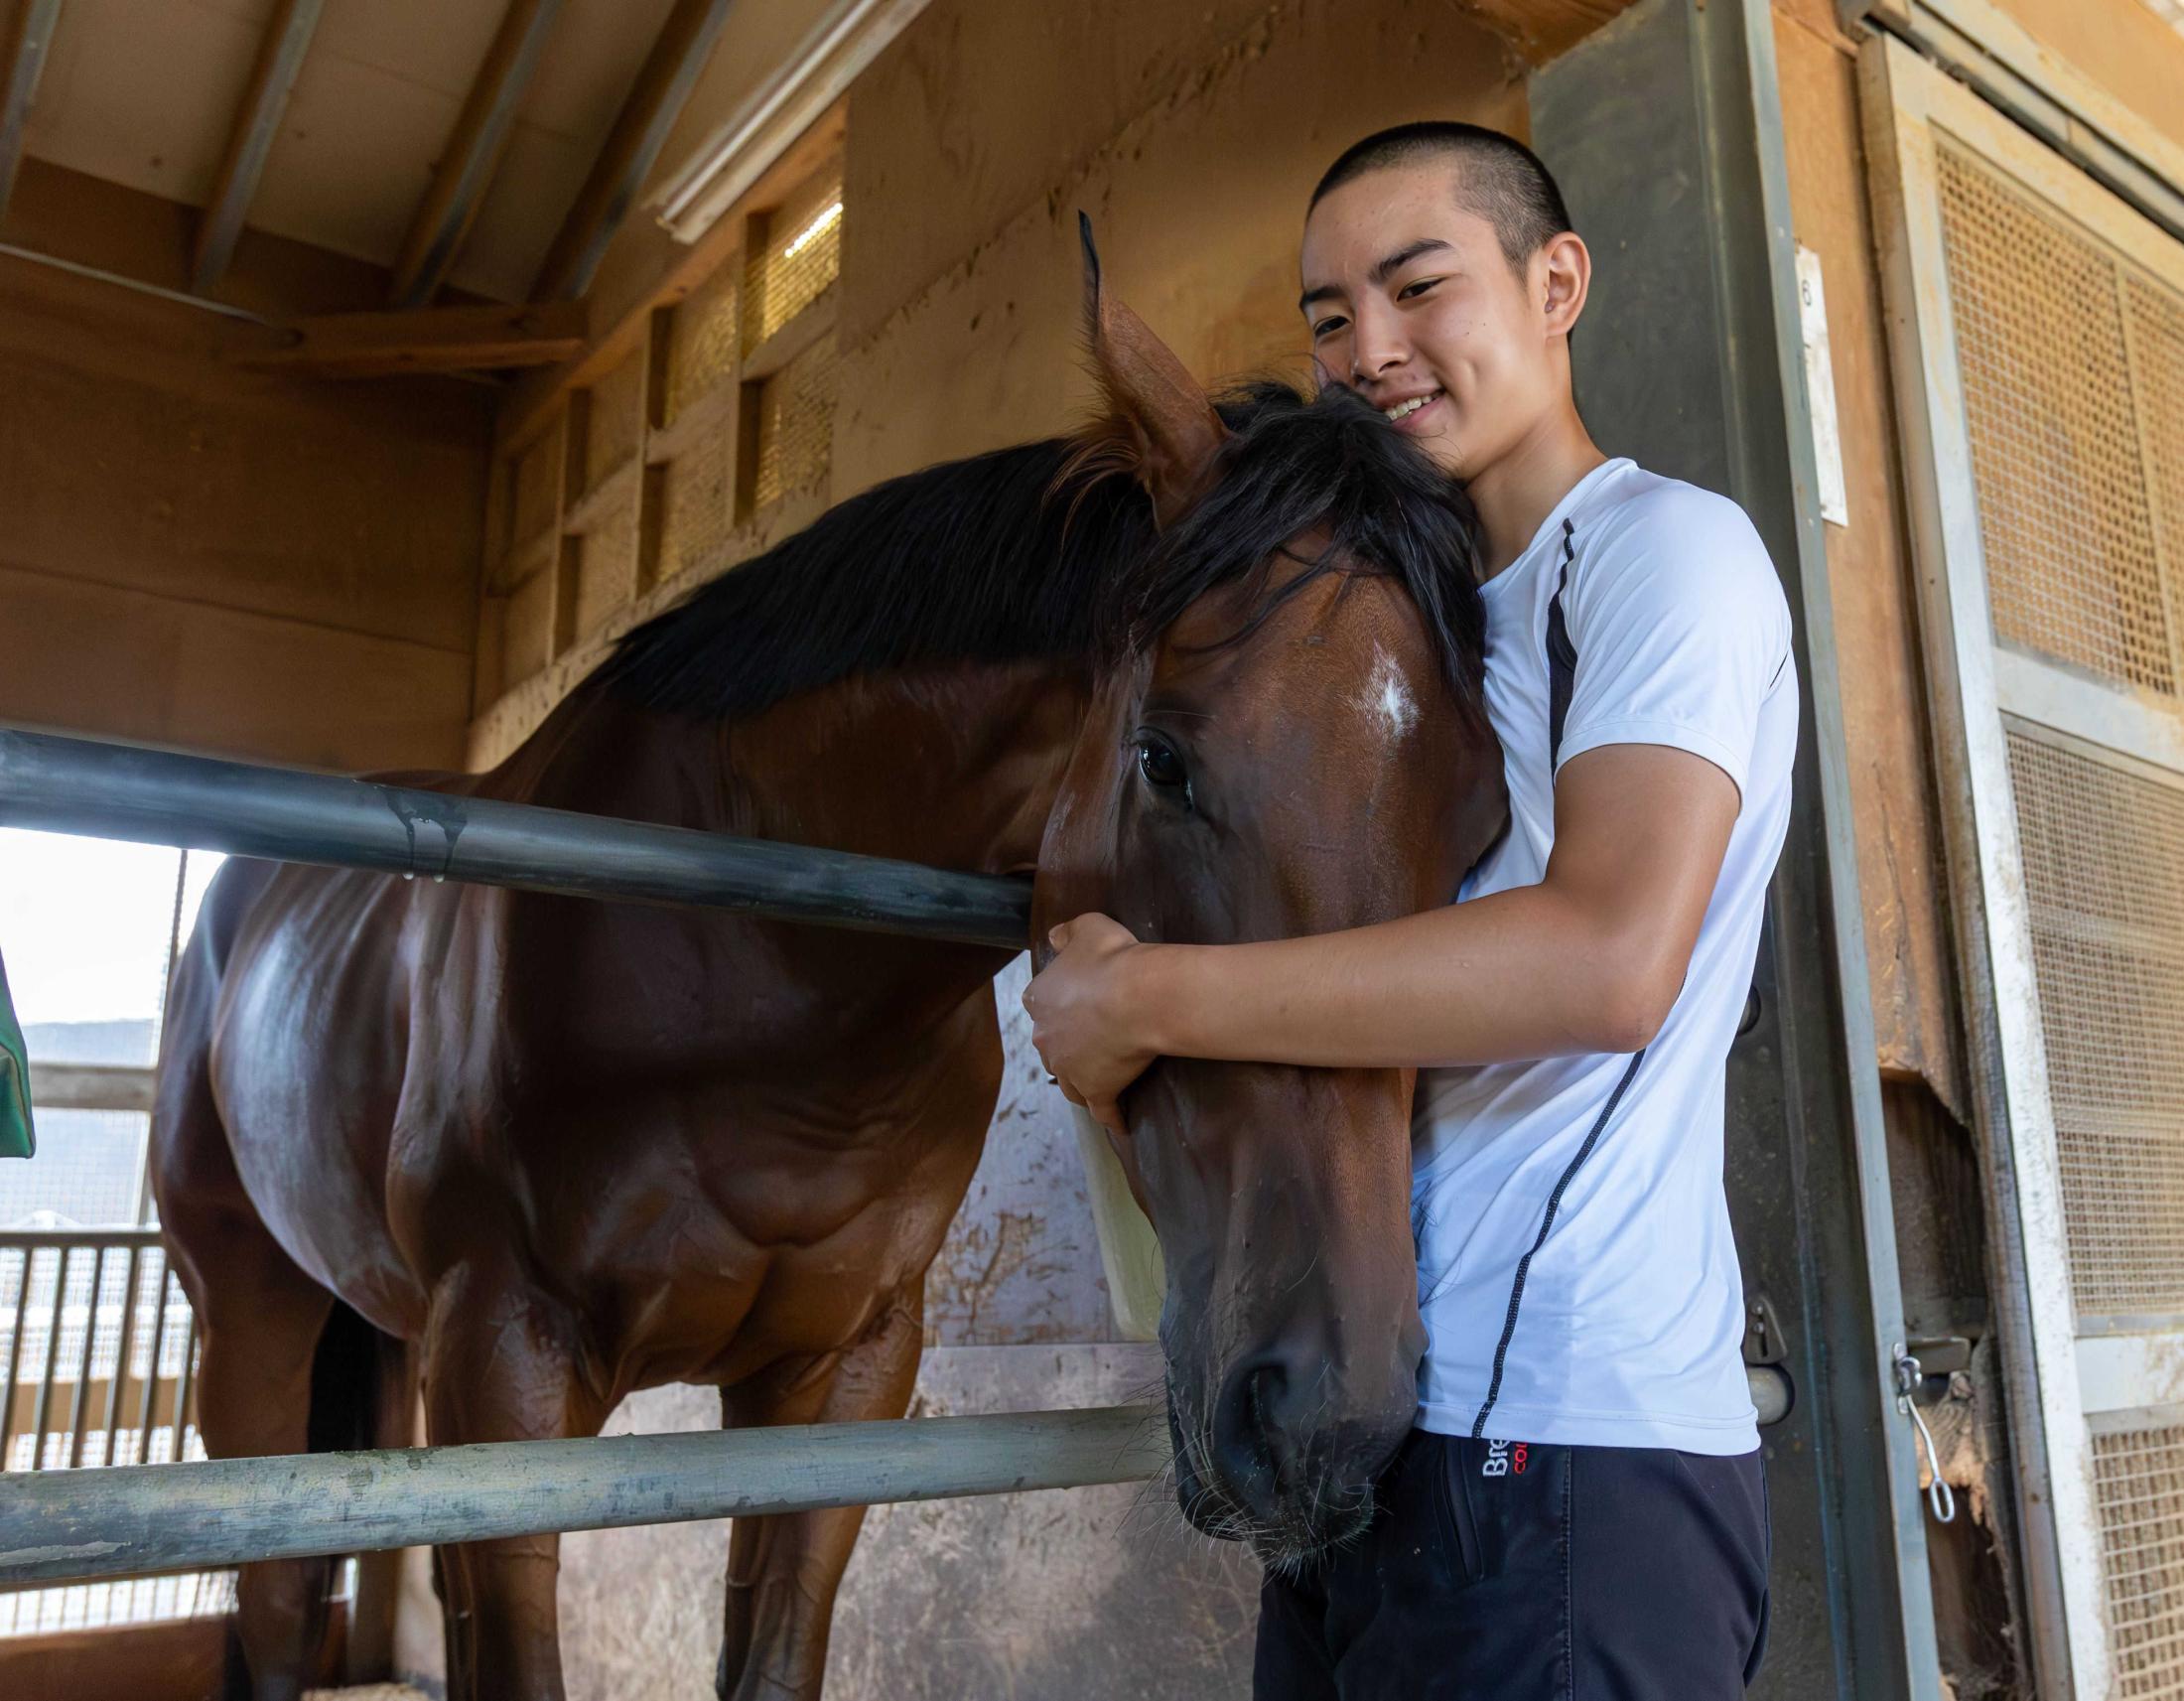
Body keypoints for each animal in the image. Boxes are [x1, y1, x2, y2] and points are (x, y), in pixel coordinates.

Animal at [154, 242, 1502, 1701]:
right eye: (1164, 759)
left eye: (1482, 820)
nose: (1329, 1418)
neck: (765, 985)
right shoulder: (502, 1375)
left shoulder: (838, 1388)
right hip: (254, 1321)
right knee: (275, 1600)